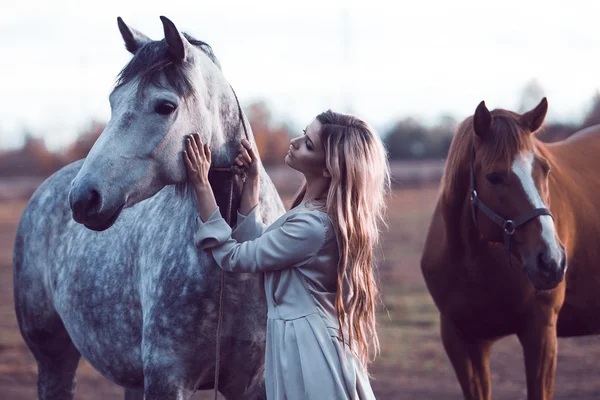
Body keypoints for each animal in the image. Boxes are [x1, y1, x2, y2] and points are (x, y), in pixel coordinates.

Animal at [12, 15, 284, 400]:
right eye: (114, 101)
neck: (231, 262)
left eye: (165, 106)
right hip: (54, 360)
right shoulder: (166, 379)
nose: (83, 199)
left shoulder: (252, 383)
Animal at [420, 97, 600, 400]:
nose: (551, 260)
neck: (475, 267)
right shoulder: (463, 342)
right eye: (493, 177)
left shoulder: (541, 332)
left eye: (545, 170)